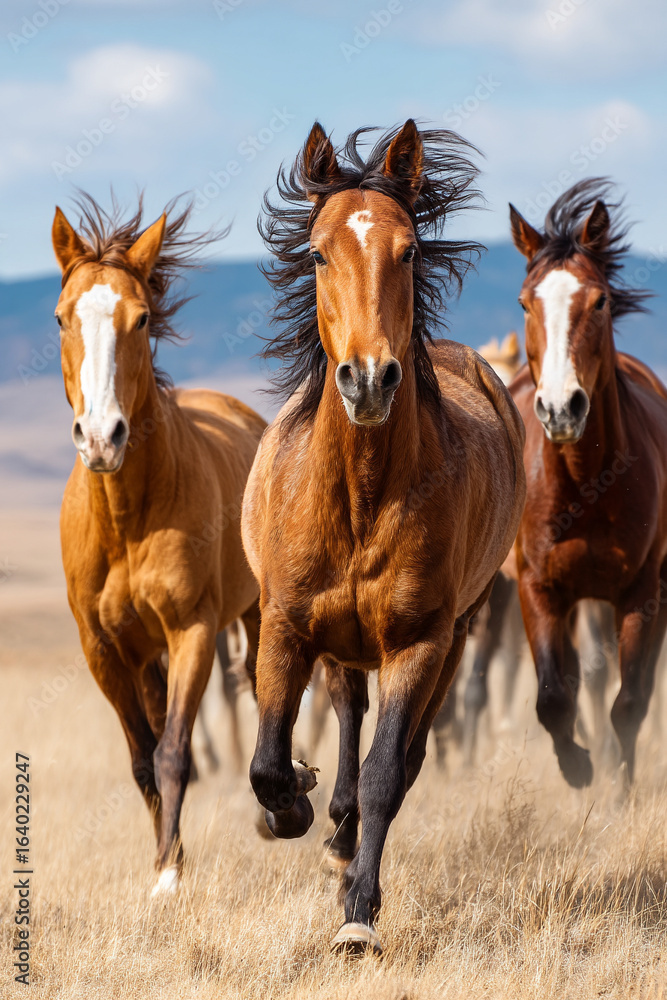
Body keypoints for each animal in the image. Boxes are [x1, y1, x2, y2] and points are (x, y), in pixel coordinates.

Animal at [53, 195, 265, 895]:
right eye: (62, 317)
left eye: (140, 317)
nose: (101, 437)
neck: (126, 520)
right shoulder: (105, 651)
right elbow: (144, 758)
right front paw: (166, 858)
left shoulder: (191, 629)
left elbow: (174, 752)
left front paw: (169, 878)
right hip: (145, 657)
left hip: (255, 616)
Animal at [241, 120, 526, 955]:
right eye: (316, 252)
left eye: (408, 252)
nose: (368, 379)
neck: (360, 495)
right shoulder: (283, 626)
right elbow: (267, 761)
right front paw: (292, 806)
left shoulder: (417, 643)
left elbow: (383, 774)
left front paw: (358, 916)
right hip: (338, 642)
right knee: (343, 711)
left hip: (458, 635)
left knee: (403, 752)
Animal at [509, 178, 667, 788]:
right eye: (525, 302)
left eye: (599, 301)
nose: (560, 408)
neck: (585, 484)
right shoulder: (539, 589)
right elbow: (554, 697)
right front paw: (578, 769)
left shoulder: (643, 591)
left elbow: (633, 702)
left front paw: (619, 788)